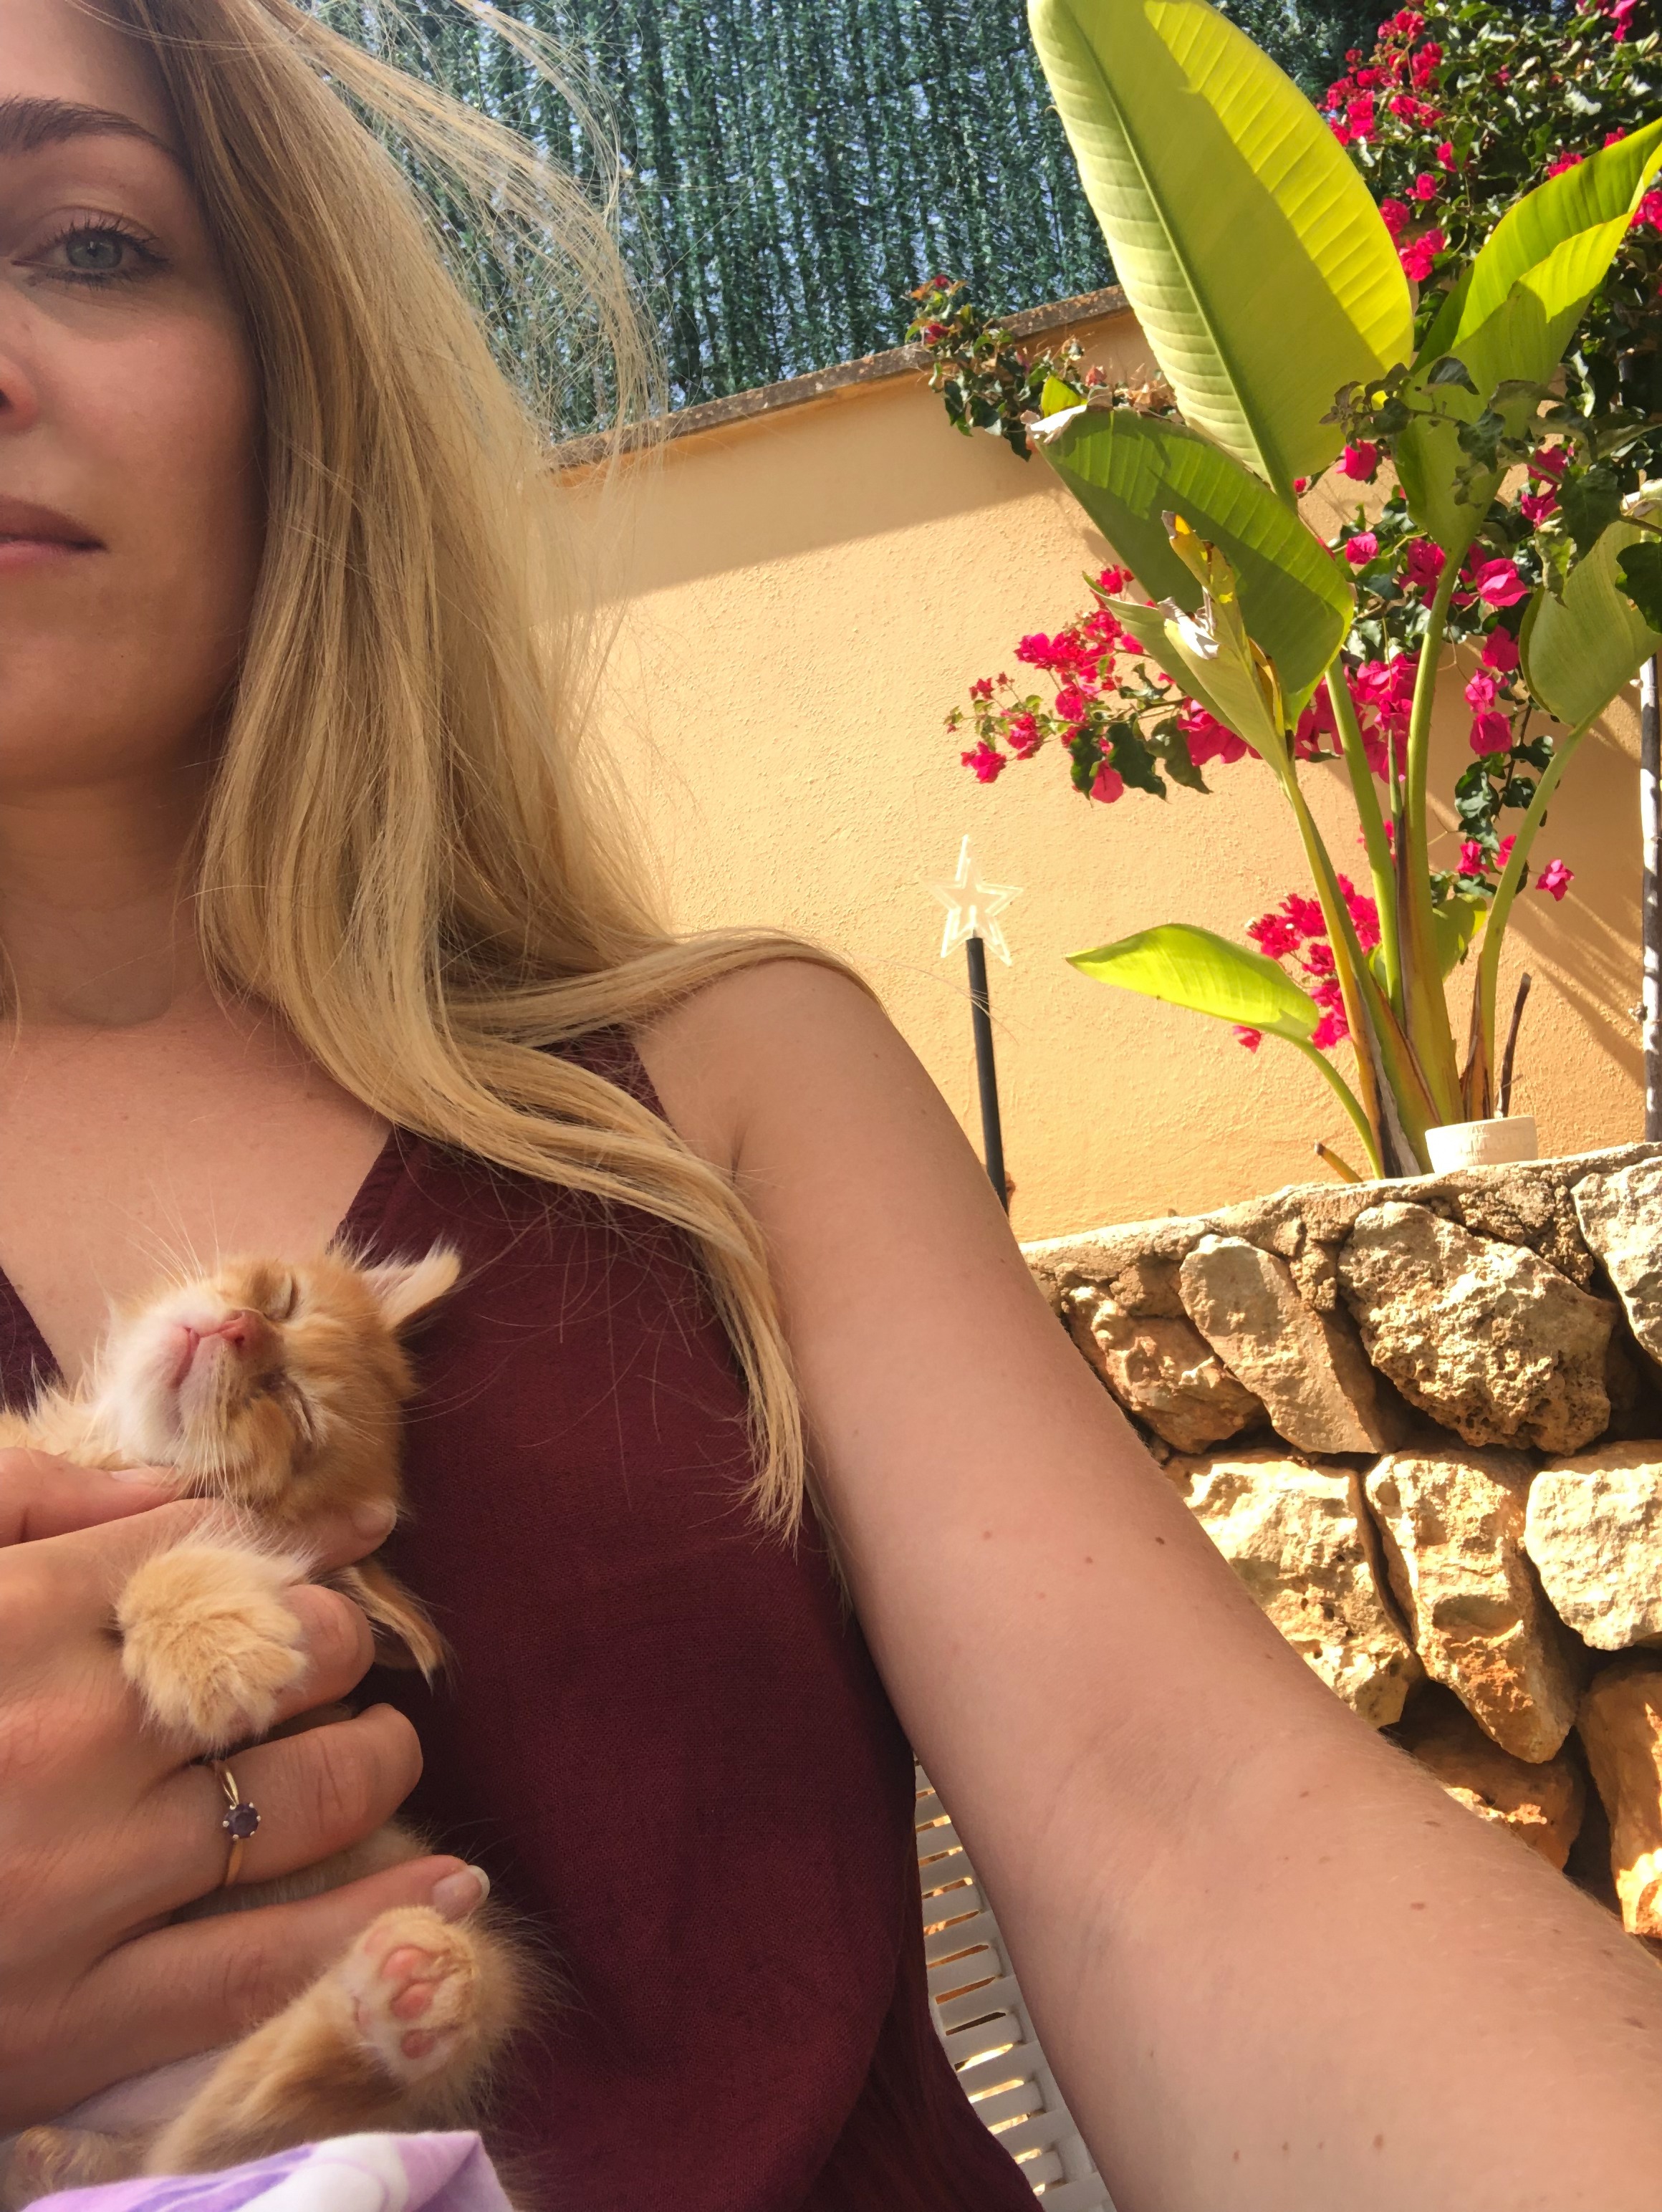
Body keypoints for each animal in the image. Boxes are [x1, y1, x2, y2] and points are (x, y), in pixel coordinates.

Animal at [0, 1247, 525, 2207]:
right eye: (282, 1301)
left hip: (465, 1948)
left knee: (245, 2141)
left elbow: (189, 1548)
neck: (97, 1445)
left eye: (293, 1406)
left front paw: (209, 1646)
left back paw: (398, 1997)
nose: (241, 1328)